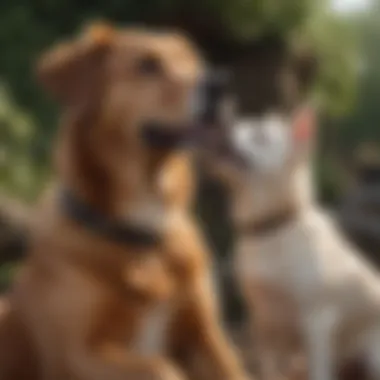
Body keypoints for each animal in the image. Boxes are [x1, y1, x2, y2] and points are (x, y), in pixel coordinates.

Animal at [0, 23, 246, 380]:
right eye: (147, 65)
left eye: (193, 63)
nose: (221, 84)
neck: (141, 238)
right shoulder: (75, 355)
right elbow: (159, 366)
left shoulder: (205, 337)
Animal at [212, 107, 380, 380]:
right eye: (236, 124)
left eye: (261, 136)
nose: (219, 125)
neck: (273, 229)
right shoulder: (262, 323)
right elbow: (268, 369)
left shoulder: (318, 322)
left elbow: (319, 372)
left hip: (373, 354)